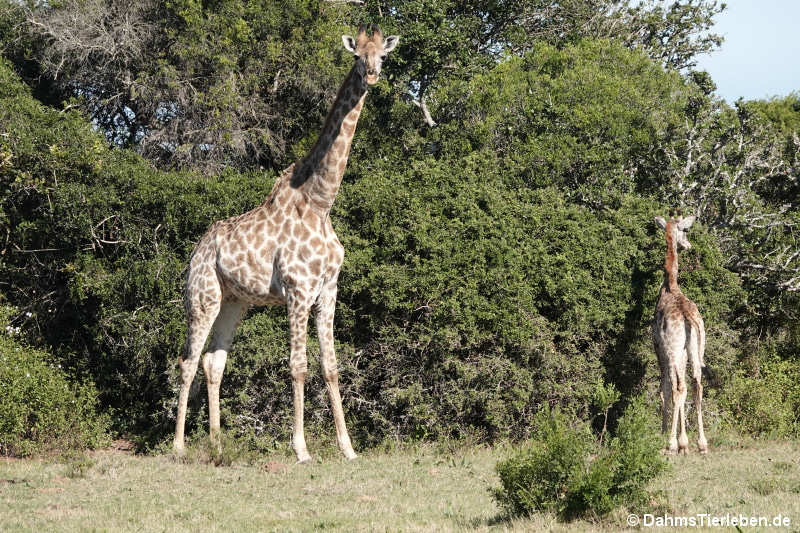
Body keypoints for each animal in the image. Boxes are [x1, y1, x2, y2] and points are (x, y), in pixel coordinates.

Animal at [173, 25, 399, 463]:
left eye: (383, 54)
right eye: (357, 56)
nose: (372, 75)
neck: (321, 202)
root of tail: (196, 252)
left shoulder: (328, 290)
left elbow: (331, 366)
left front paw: (348, 449)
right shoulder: (298, 289)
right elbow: (298, 366)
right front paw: (301, 449)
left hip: (234, 302)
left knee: (213, 362)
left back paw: (217, 443)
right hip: (202, 297)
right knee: (188, 361)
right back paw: (177, 446)